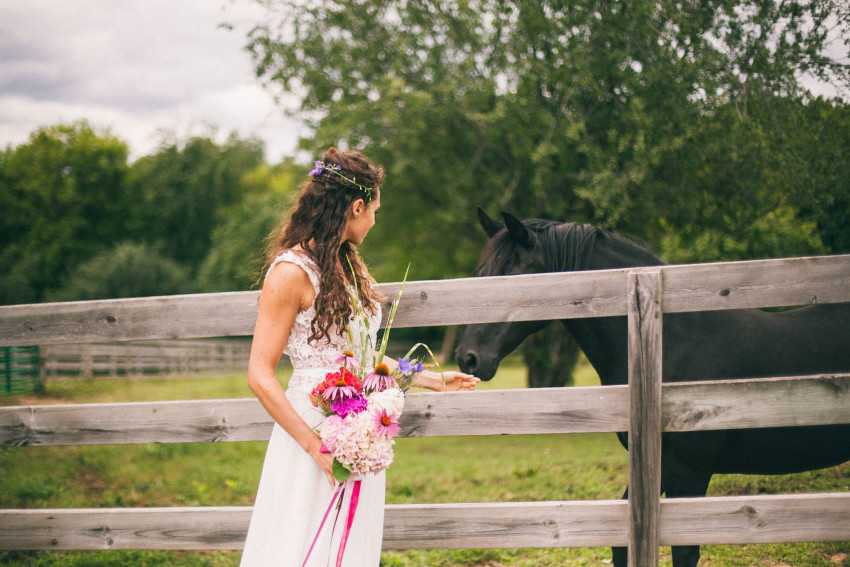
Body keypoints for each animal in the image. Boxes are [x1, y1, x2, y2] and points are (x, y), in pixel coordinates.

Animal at [458, 210, 848, 567]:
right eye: (480, 276)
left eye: (513, 277)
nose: (468, 358)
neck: (668, 341)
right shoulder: (655, 467)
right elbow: (622, 543)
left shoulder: (689, 473)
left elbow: (684, 551)